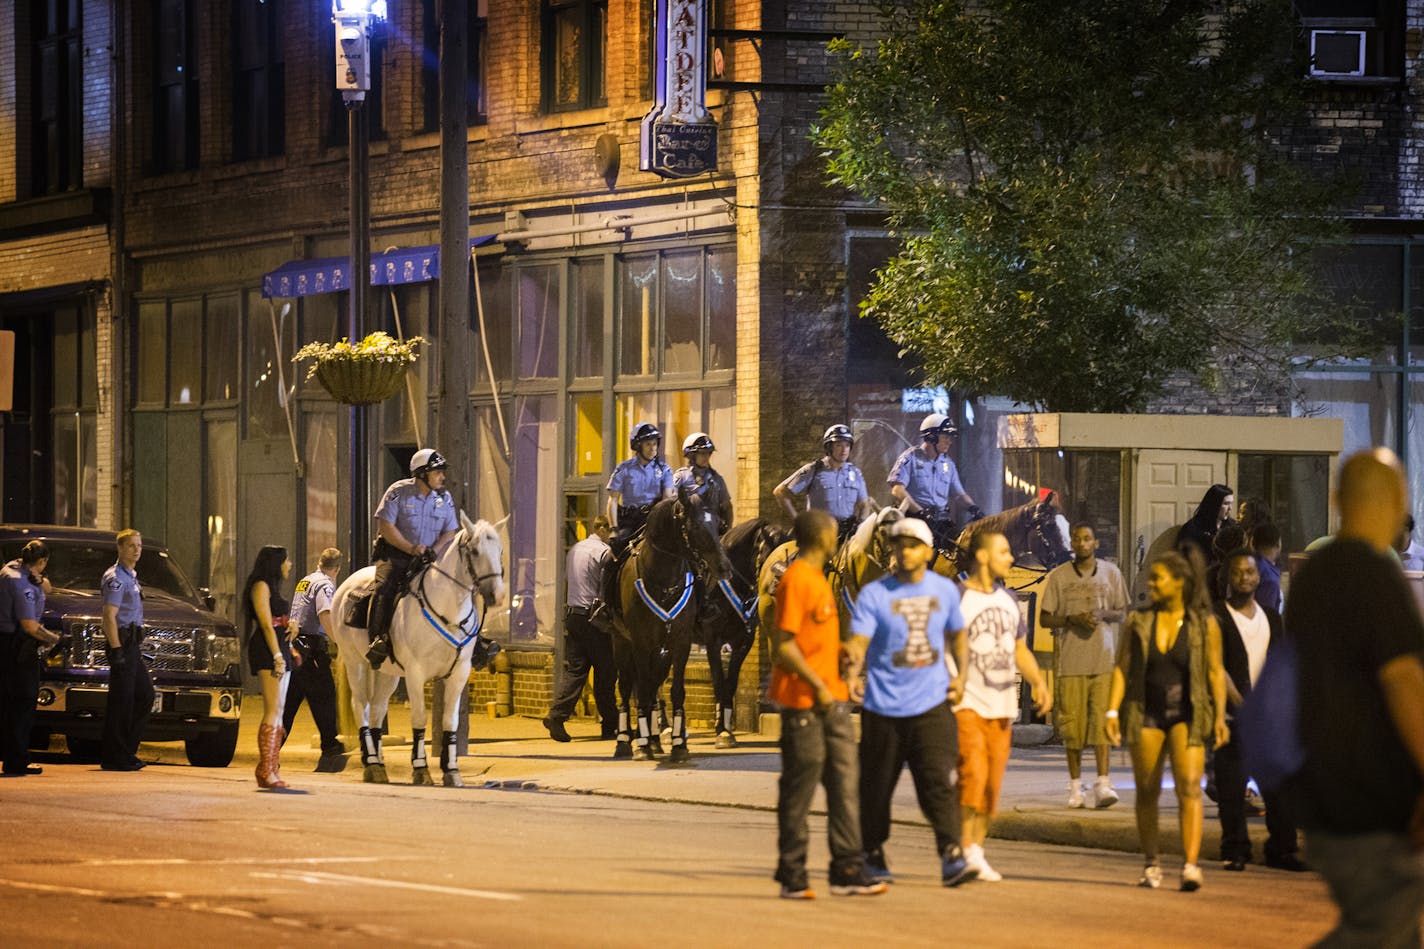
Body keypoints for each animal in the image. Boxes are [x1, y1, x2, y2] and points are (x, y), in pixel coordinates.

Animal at [330, 510, 509, 780]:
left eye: (499, 550)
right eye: (475, 551)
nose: (497, 596)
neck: (449, 609)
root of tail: (346, 585)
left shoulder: (459, 673)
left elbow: (450, 720)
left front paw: (451, 769)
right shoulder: (416, 673)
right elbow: (420, 717)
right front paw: (421, 767)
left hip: (387, 673)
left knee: (378, 709)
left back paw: (379, 764)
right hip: (356, 663)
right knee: (361, 707)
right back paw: (371, 762)